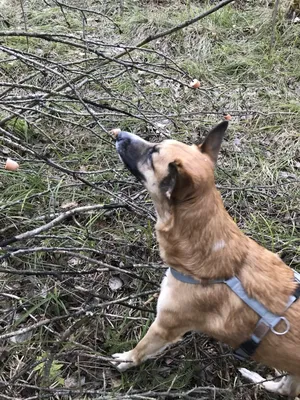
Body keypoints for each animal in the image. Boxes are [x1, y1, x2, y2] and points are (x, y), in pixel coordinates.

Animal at [112, 122, 300, 396]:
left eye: (153, 153)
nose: (118, 134)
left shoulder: (164, 327)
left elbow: (141, 349)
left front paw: (127, 360)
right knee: (286, 388)